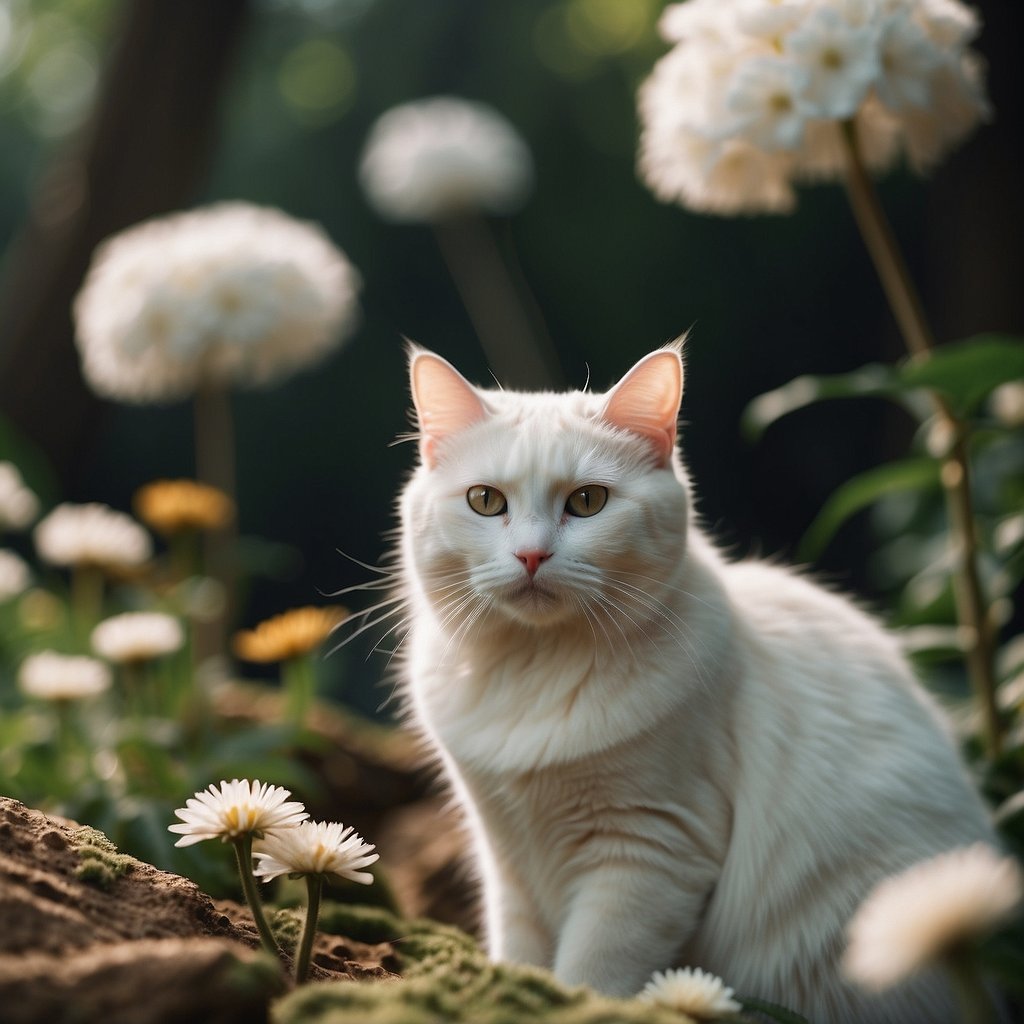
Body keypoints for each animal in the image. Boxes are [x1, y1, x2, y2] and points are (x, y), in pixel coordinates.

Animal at [395, 346, 995, 1024]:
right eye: (485, 501)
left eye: (588, 501)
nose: (530, 556)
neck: (533, 671)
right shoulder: (508, 864)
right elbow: (518, 958)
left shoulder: (650, 853)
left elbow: (590, 976)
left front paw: (570, 1004)